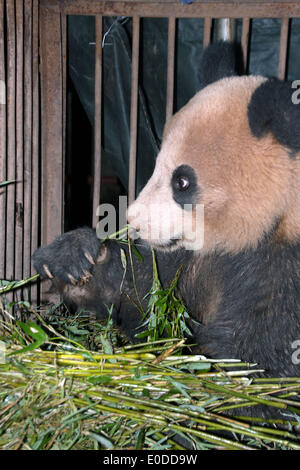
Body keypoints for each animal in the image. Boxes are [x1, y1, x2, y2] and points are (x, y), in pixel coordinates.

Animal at [32, 42, 300, 384]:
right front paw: (73, 259)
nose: (133, 219)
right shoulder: (189, 258)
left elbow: (263, 356)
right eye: (157, 163)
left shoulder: (284, 268)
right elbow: (142, 289)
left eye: (181, 182)